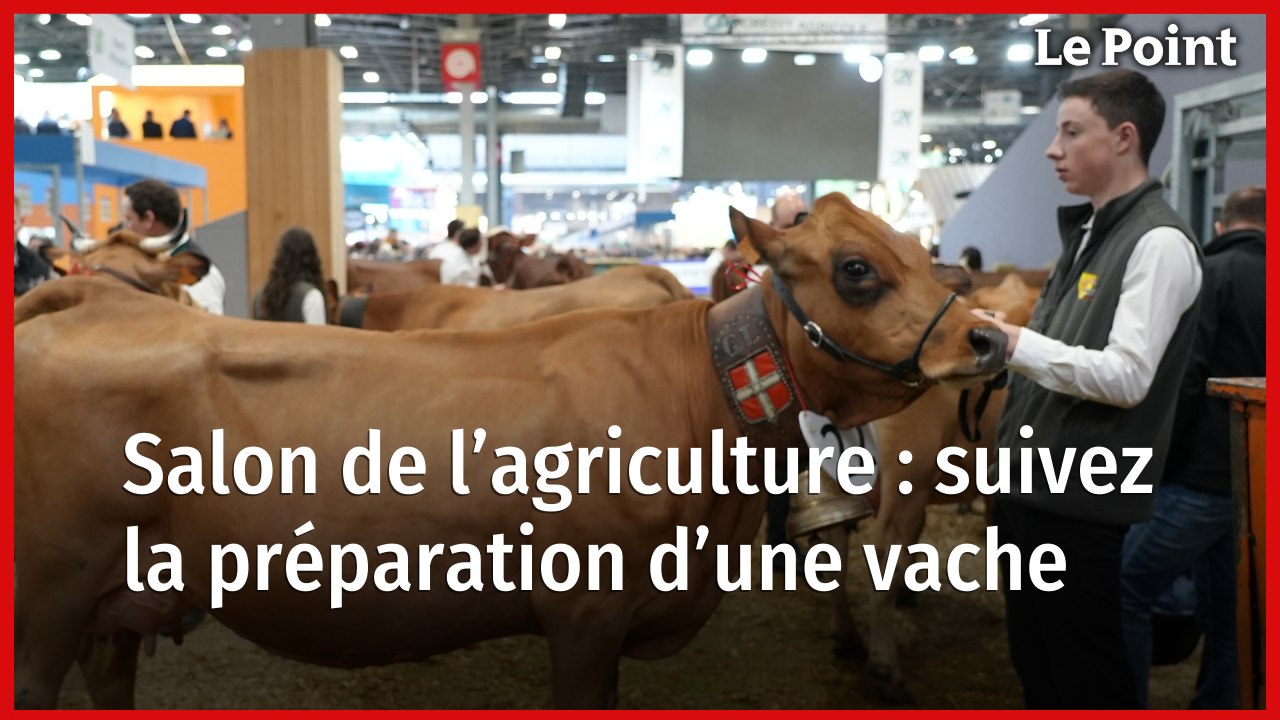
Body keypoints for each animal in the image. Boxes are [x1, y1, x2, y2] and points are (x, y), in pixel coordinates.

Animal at [14, 192, 1006, 709]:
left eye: (916, 249)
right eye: (856, 270)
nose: (990, 339)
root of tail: (95, 299)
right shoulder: (586, 616)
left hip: (113, 611)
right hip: (44, 607)